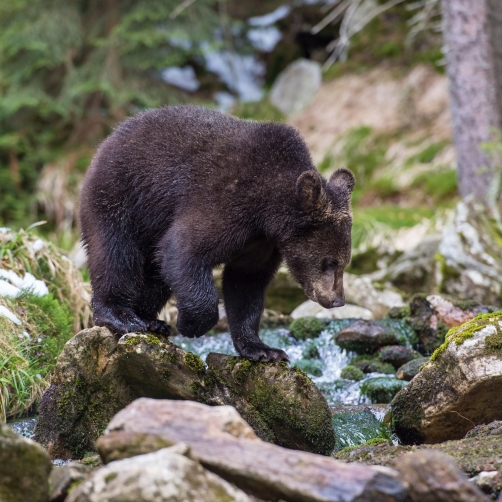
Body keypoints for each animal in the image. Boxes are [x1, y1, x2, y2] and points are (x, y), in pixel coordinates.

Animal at [79, 105, 352, 360]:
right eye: (329, 262)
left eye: (344, 262)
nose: (337, 300)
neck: (267, 211)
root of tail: (106, 141)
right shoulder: (225, 202)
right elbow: (183, 249)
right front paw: (190, 325)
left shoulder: (261, 243)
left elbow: (246, 283)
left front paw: (262, 349)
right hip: (119, 198)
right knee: (116, 255)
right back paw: (122, 316)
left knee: (154, 274)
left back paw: (150, 320)